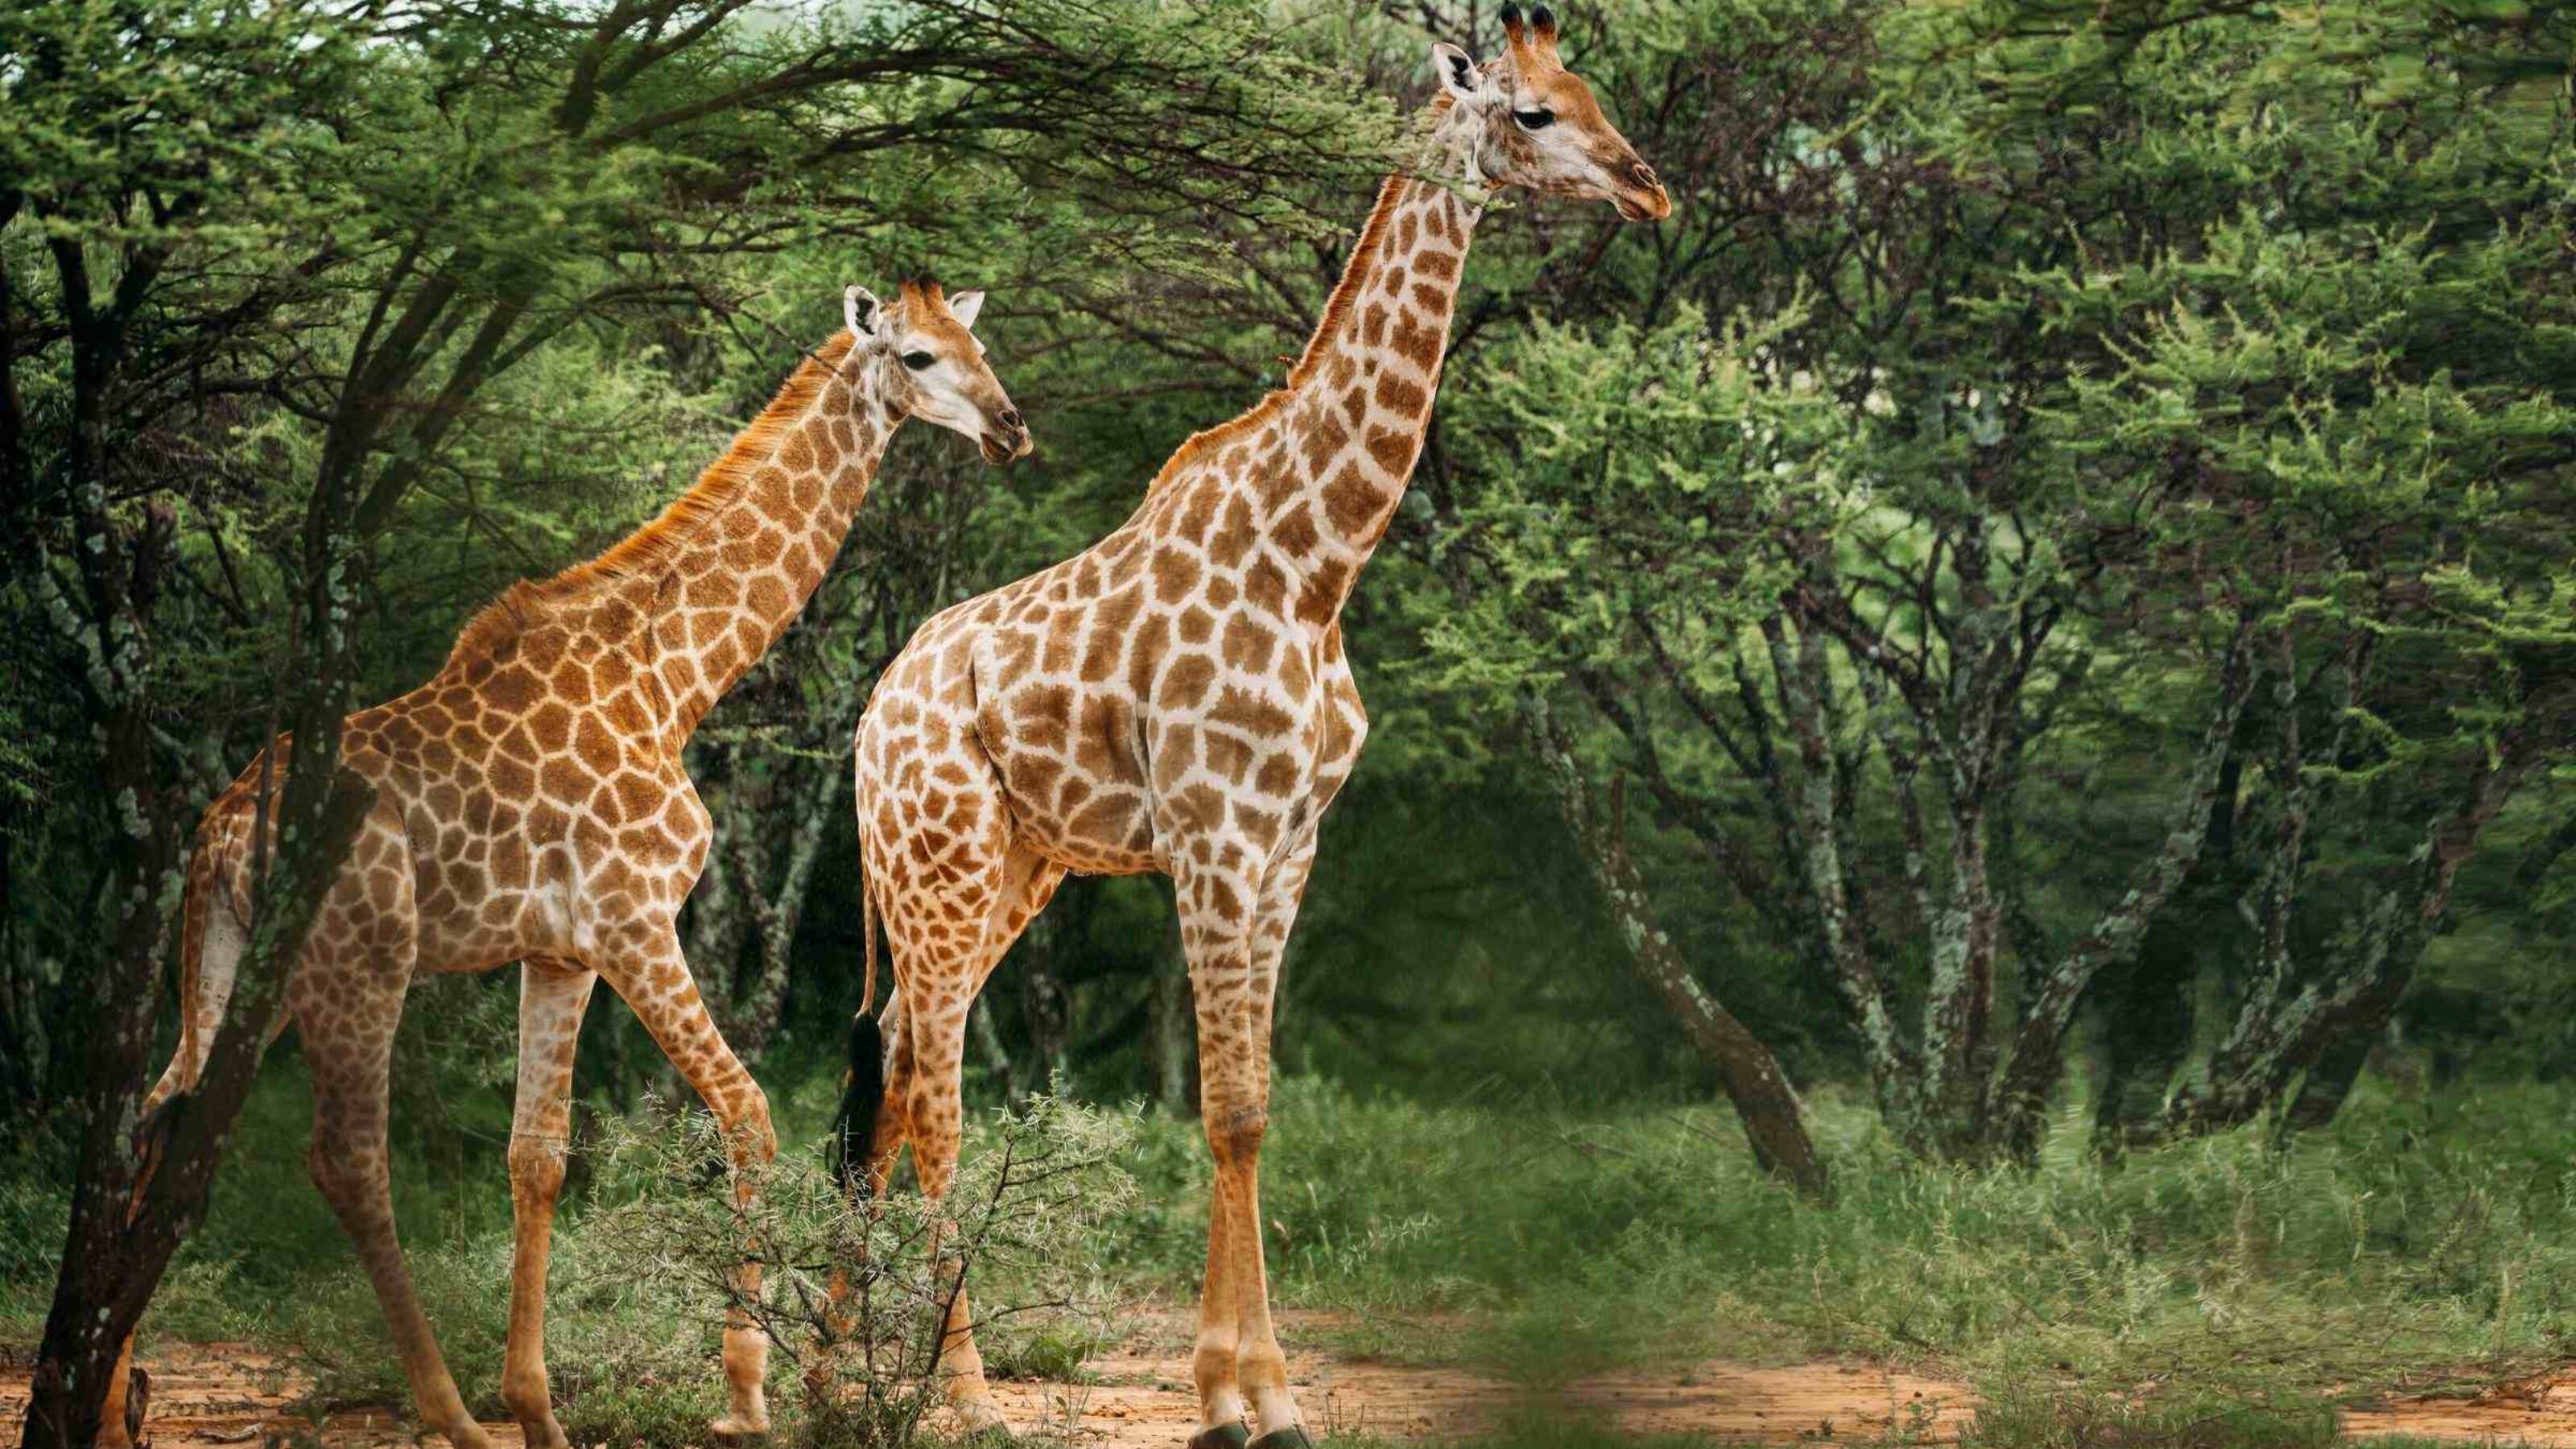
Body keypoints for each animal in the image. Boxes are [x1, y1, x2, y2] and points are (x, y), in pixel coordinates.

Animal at [100, 281, 1030, 1449]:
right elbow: (747, 1116)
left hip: (239, 965)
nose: (1010, 428)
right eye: (918, 357)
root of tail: (223, 835)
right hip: (362, 965)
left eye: (976, 345)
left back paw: (106, 1409)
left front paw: (539, 1408)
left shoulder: (559, 951)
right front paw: (743, 1394)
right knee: (344, 1159)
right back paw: (448, 1415)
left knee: (158, 1119)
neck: (669, 678)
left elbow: (536, 1156)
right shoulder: (634, 921)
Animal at [842, 10, 1668, 1445]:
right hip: (938, 868)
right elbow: (1226, 1112)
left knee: (892, 1059)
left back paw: (845, 1357)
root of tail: (868, 722)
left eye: (1590, 87)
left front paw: (1256, 1392)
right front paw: (1240, 1399)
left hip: (1009, 870)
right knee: (932, 1085)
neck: (1317, 558)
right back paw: (959, 1388)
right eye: (1536, 114)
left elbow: (1259, 1110)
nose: (1648, 188)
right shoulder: (1215, 838)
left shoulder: (1290, 848)